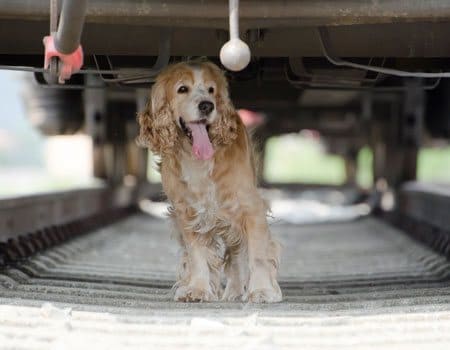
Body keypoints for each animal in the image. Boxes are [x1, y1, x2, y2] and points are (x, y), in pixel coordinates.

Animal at [137, 60, 282, 304]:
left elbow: (258, 255)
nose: (207, 105)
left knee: (236, 253)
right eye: (182, 89)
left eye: (211, 90)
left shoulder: (249, 208)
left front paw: (262, 290)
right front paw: (197, 288)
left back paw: (234, 290)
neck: (199, 162)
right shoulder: (188, 213)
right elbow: (197, 255)